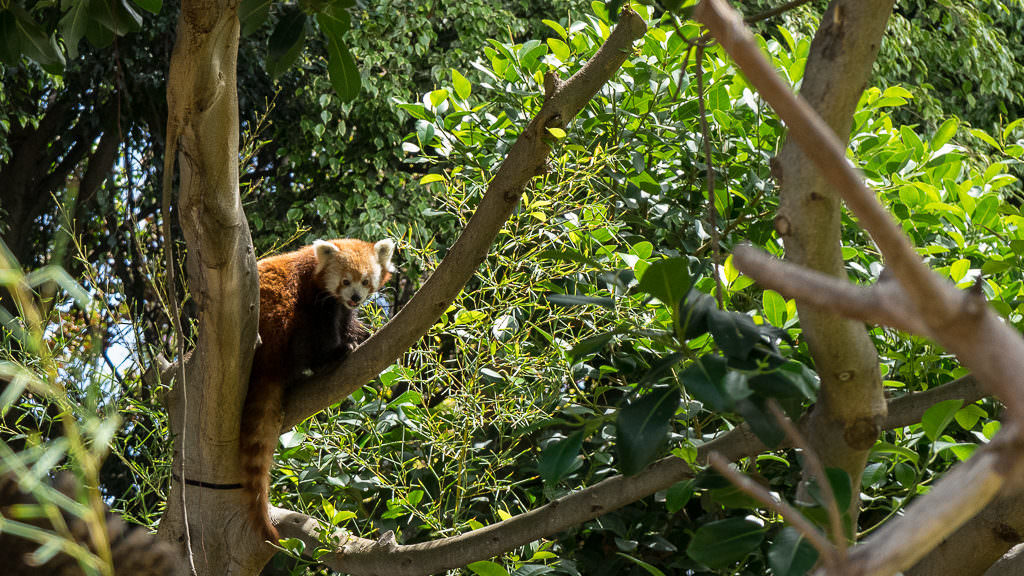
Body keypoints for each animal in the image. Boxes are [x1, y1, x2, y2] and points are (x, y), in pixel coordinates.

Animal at [240, 236, 395, 537]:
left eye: (366, 281)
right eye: (345, 281)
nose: (356, 297)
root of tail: (265, 362)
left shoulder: (340, 307)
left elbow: (347, 321)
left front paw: (361, 333)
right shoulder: (314, 296)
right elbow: (325, 329)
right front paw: (339, 348)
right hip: (280, 322)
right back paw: (323, 361)